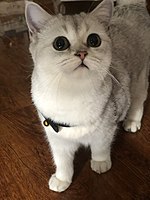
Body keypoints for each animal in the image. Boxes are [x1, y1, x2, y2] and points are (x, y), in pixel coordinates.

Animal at [24, 0, 150, 192]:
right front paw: (62, 179)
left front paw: (100, 163)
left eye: (94, 40)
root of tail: (133, 5)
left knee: (138, 101)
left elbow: (100, 147)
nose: (82, 53)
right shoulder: (57, 139)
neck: (71, 93)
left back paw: (132, 121)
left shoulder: (105, 131)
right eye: (60, 43)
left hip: (139, 80)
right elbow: (62, 162)